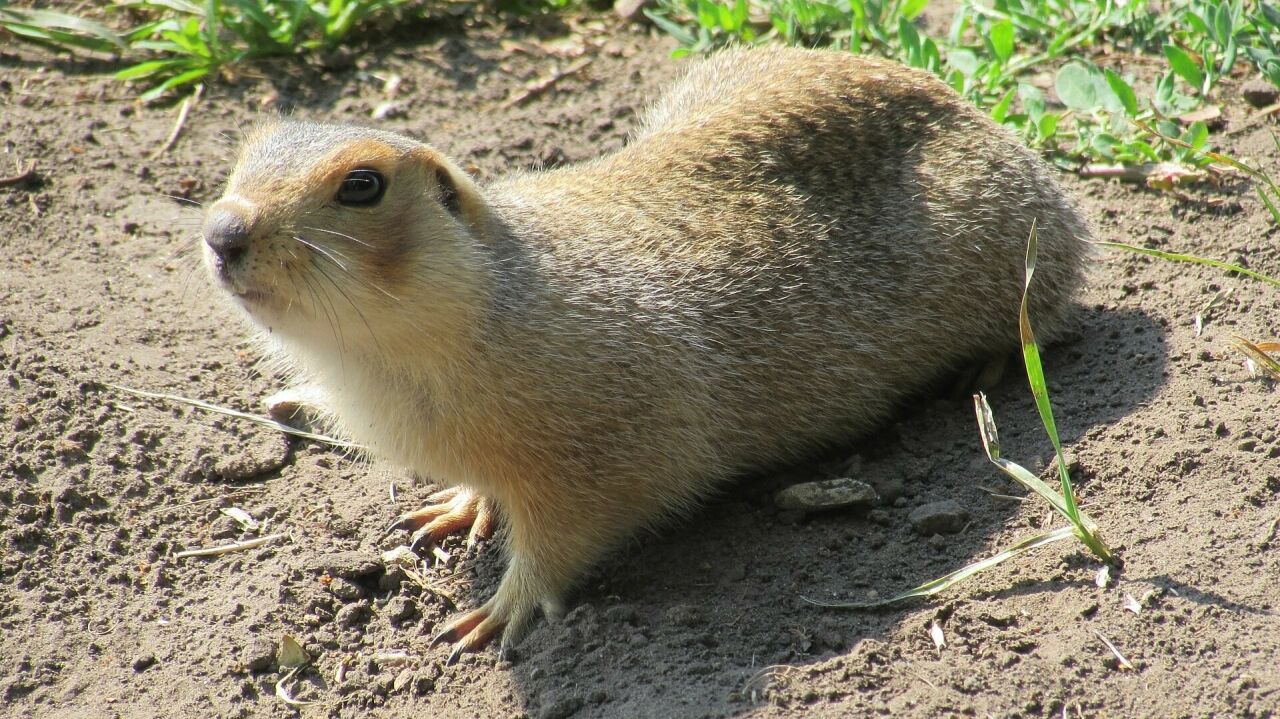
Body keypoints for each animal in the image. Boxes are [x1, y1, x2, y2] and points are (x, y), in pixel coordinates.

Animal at [199, 46, 1090, 660]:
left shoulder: (603, 436)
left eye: (363, 185)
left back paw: (989, 363)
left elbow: (573, 526)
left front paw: (499, 608)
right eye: (241, 154)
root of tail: (966, 106)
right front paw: (460, 505)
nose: (221, 230)